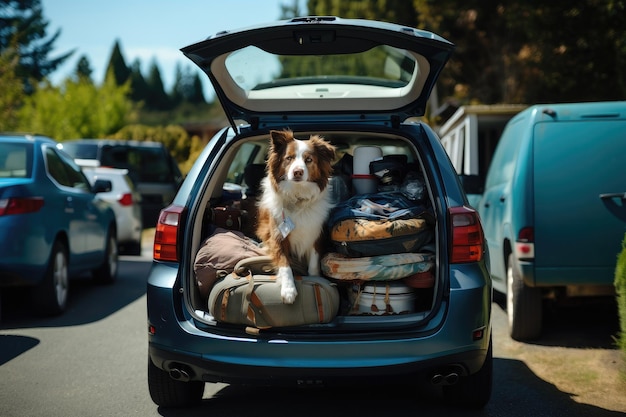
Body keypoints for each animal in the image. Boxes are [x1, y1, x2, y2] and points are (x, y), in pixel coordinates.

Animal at [254, 128, 334, 304]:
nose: (298, 172)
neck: (298, 197)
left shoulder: (315, 235)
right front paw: (289, 290)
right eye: (289, 158)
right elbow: (285, 265)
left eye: (308, 159)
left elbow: (313, 265)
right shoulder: (278, 237)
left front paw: (315, 279)